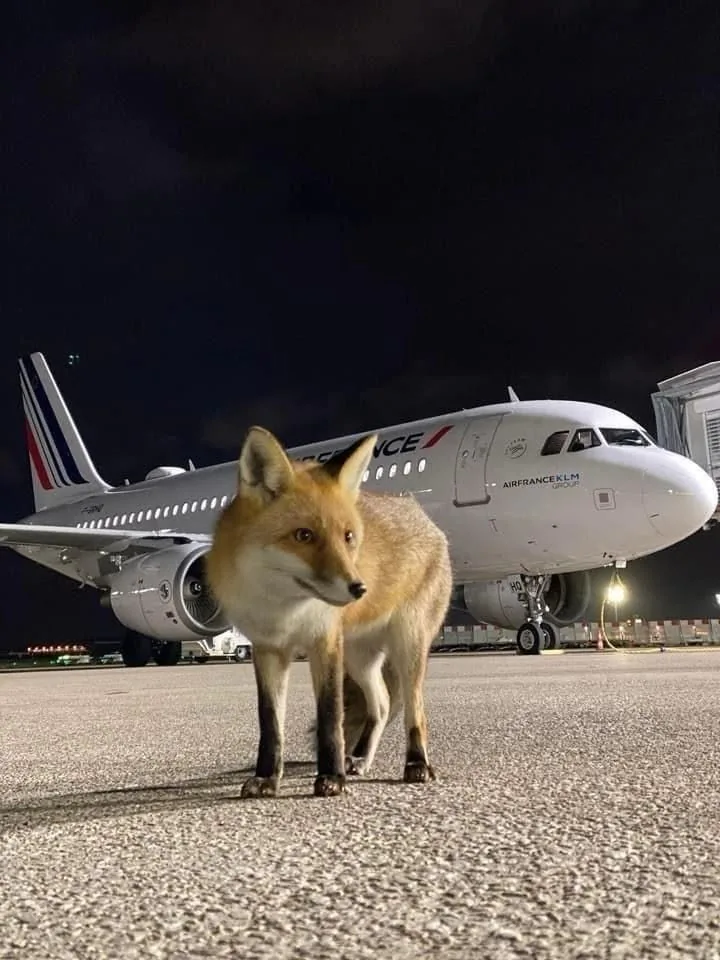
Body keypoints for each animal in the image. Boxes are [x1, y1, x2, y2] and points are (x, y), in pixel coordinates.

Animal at [204, 425, 453, 799]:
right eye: (304, 535)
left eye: (348, 537)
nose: (359, 588)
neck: (283, 609)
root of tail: (419, 511)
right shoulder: (268, 649)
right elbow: (270, 723)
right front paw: (267, 778)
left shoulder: (325, 641)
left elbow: (330, 716)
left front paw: (331, 778)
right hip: (360, 658)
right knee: (380, 704)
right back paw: (360, 759)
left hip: (407, 646)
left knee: (414, 709)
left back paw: (416, 763)